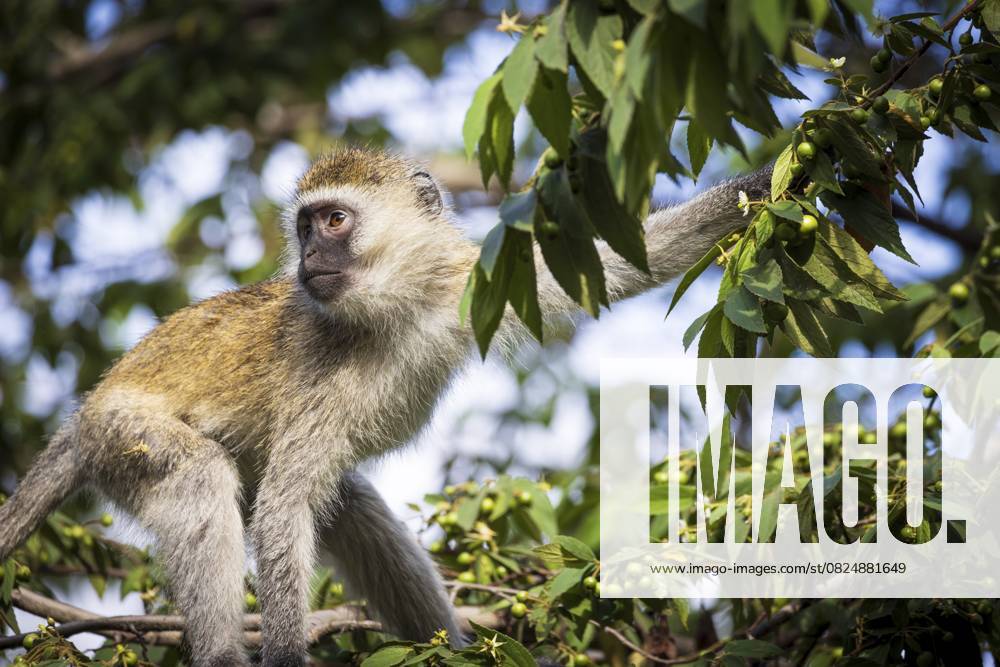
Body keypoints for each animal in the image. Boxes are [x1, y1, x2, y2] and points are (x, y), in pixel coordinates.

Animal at [0, 147, 770, 666]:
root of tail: (87, 411)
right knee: (199, 478)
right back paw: (221, 652)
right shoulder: (319, 370)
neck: (394, 307)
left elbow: (620, 265)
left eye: (335, 221)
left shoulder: (465, 281)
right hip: (124, 436)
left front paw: (775, 178)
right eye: (305, 228)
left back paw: (453, 648)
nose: (309, 259)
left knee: (348, 507)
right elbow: (283, 508)